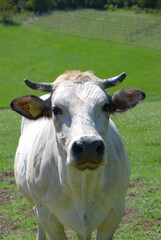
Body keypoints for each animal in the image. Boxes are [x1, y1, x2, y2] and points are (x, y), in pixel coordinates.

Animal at [10, 70, 146, 239]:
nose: (88, 146)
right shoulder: (48, 216)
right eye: (56, 109)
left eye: (106, 106)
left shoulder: (115, 212)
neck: (82, 184)